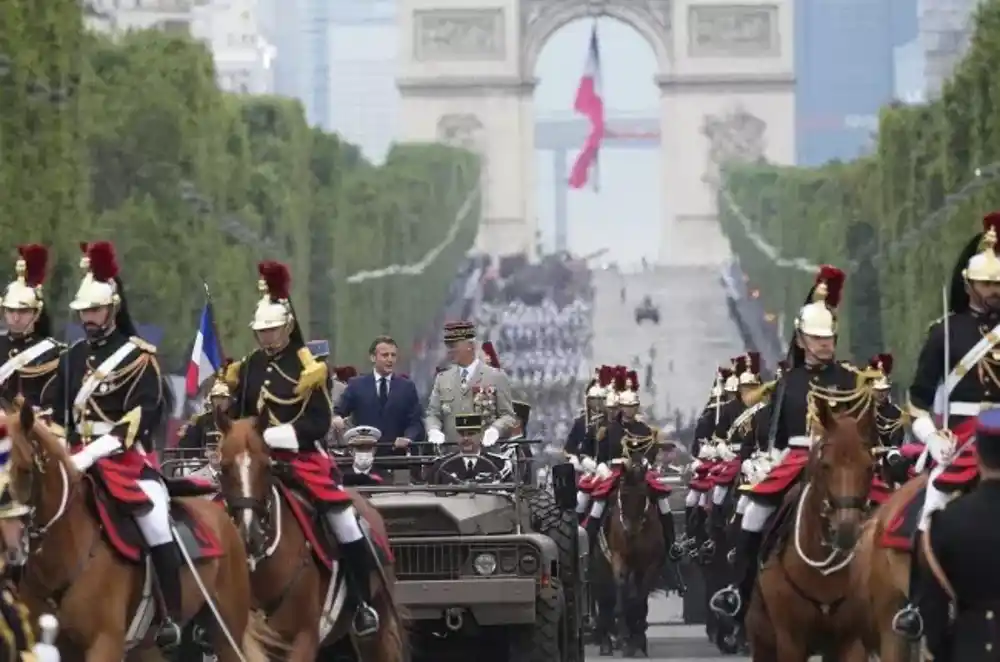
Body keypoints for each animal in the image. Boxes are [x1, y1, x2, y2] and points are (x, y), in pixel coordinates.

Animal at [215, 410, 406, 662]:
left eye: (267, 467)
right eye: (224, 468)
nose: (250, 536)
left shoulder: (305, 637)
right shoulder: (237, 642)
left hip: (377, 629)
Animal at [744, 402, 876, 660]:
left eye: (869, 467)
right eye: (826, 465)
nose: (846, 530)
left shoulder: (851, 641)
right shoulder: (790, 641)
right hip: (762, 641)